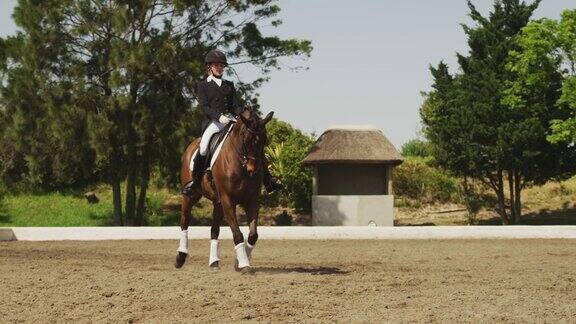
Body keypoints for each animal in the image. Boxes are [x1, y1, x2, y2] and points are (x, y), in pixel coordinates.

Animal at [174, 109, 274, 274]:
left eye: (264, 140)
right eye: (246, 139)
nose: (253, 171)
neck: (240, 164)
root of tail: (192, 145)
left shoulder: (252, 200)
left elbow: (253, 235)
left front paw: (239, 262)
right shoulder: (228, 200)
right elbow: (238, 234)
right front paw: (244, 265)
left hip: (218, 202)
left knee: (214, 230)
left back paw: (214, 261)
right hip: (191, 196)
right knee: (185, 221)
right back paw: (180, 257)